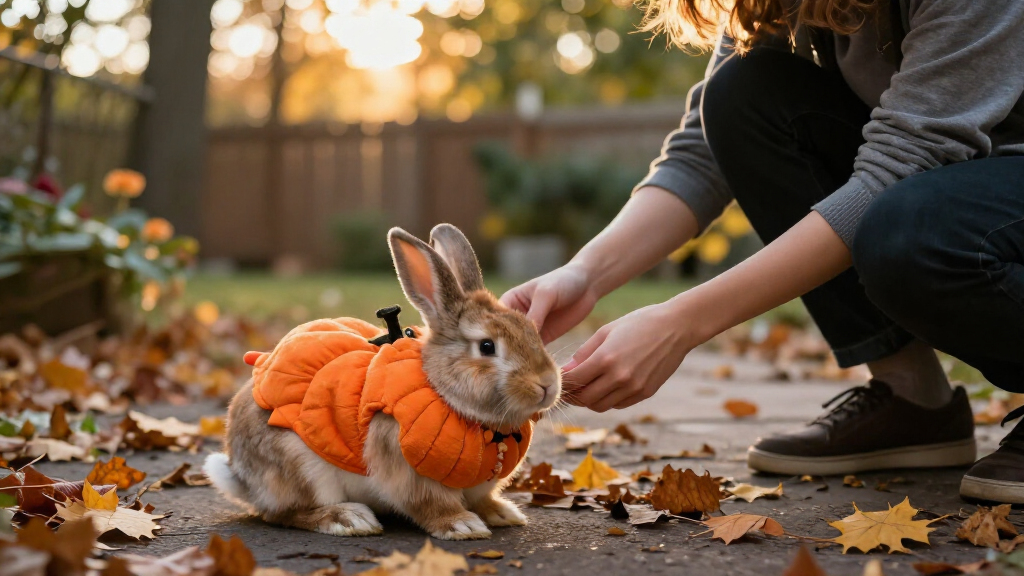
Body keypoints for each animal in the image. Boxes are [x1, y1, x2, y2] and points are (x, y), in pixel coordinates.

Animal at [204, 223, 561, 540]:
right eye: (487, 347)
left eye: (531, 329)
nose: (547, 384)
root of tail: (241, 474)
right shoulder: (407, 471)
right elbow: (430, 505)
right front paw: (462, 526)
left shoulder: (478, 486)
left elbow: (482, 500)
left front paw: (503, 513)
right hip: (302, 467)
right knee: (285, 514)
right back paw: (347, 518)